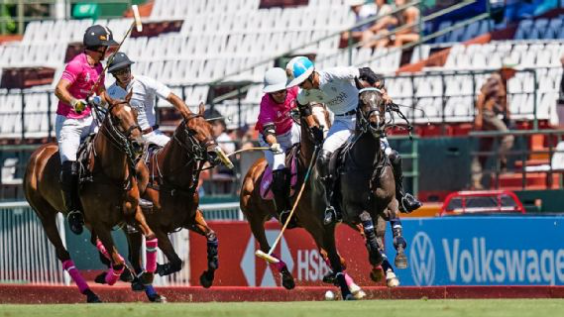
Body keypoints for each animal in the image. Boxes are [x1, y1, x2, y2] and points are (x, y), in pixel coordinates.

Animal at [24, 93, 159, 302]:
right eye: (117, 118)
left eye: (136, 114)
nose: (139, 144)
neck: (111, 175)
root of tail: (37, 154)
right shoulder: (99, 221)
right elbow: (117, 261)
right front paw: (109, 277)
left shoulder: (132, 212)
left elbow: (151, 237)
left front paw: (146, 278)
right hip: (45, 215)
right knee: (63, 253)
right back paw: (91, 292)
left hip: (86, 219)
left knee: (97, 243)